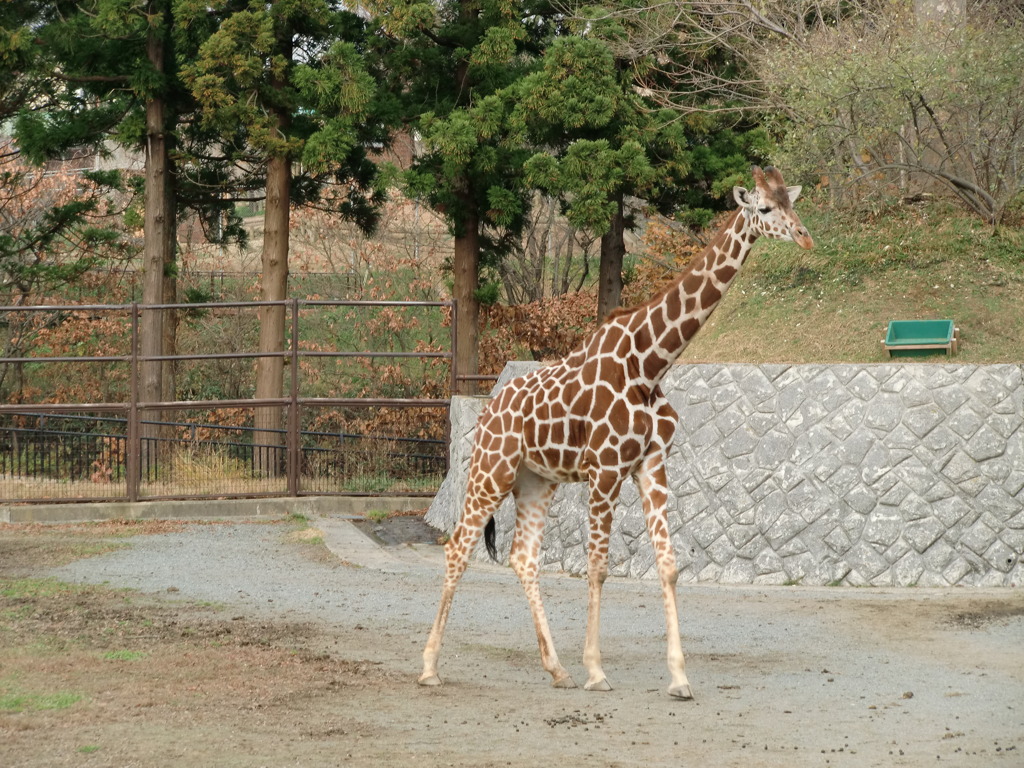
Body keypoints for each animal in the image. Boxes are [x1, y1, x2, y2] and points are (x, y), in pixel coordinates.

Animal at [419, 165, 811, 700]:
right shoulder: (605, 470)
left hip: (535, 481)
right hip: (490, 470)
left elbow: (668, 564)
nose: (805, 237)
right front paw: (597, 670)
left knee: (523, 557)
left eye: (792, 202)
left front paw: (679, 678)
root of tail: (485, 410)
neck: (649, 362)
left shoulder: (651, 463)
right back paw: (430, 667)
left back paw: (556, 669)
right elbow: (599, 567)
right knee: (458, 547)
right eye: (766, 208)